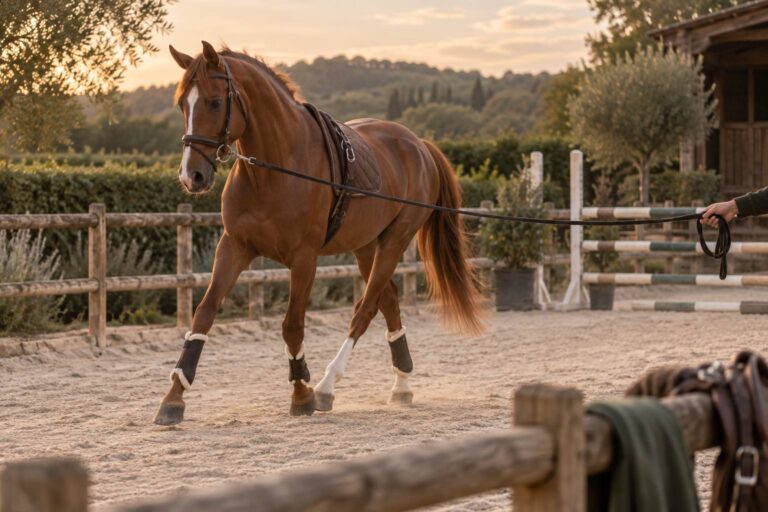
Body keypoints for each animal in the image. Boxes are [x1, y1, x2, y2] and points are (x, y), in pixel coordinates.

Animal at [154, 41, 483, 425]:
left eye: (215, 102)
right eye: (182, 104)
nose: (191, 176)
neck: (274, 170)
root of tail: (418, 144)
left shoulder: (304, 259)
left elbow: (293, 325)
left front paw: (301, 394)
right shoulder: (234, 247)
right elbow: (204, 313)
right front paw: (173, 398)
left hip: (394, 243)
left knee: (365, 309)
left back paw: (327, 387)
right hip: (365, 247)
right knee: (387, 301)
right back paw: (400, 386)